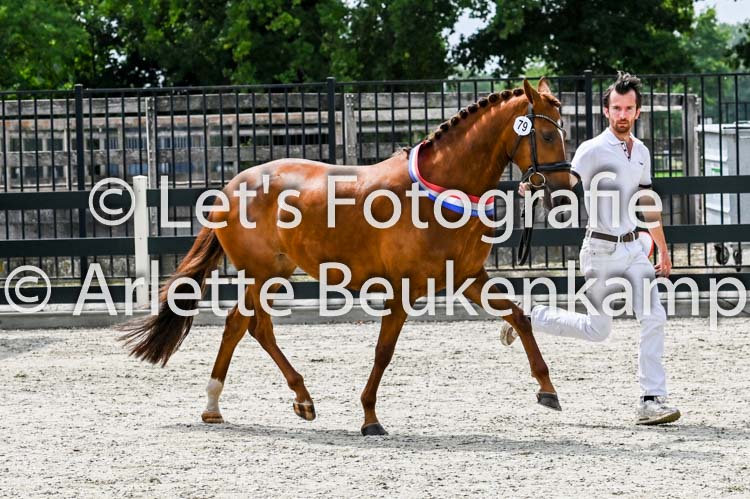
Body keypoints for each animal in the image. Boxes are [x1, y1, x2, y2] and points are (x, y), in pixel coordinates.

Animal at [120, 78, 575, 436]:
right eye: (547, 136)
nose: (565, 190)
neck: (442, 189)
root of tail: (231, 186)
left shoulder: (466, 277)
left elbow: (519, 315)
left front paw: (547, 390)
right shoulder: (404, 289)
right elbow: (383, 352)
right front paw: (370, 418)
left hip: (272, 273)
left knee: (239, 325)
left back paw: (223, 405)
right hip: (261, 273)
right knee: (254, 327)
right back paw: (297, 399)